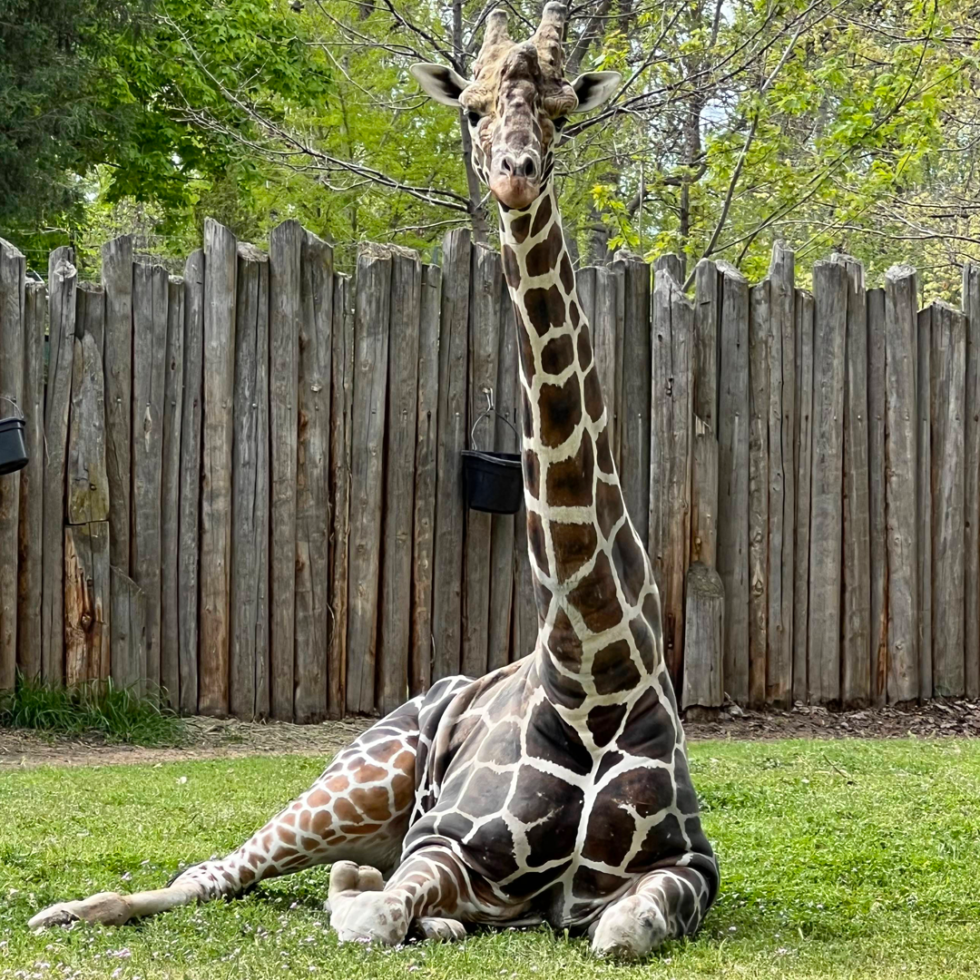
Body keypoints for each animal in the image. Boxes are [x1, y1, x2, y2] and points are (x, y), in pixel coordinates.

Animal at [28, 3, 718, 959]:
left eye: (560, 112)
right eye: (471, 109)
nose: (514, 174)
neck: (596, 677)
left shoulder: (688, 868)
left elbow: (617, 930)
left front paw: (423, 910)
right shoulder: (446, 843)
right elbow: (371, 915)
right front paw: (371, 896)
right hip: (357, 778)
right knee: (210, 873)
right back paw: (66, 911)